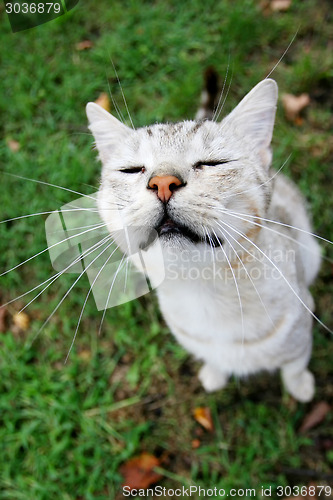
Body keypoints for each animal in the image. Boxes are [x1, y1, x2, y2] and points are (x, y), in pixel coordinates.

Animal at [85, 72, 322, 404]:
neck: (205, 293)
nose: (162, 183)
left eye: (213, 163)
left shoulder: (300, 337)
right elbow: (214, 360)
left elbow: (295, 367)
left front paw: (301, 388)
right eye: (132, 170)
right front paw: (214, 374)